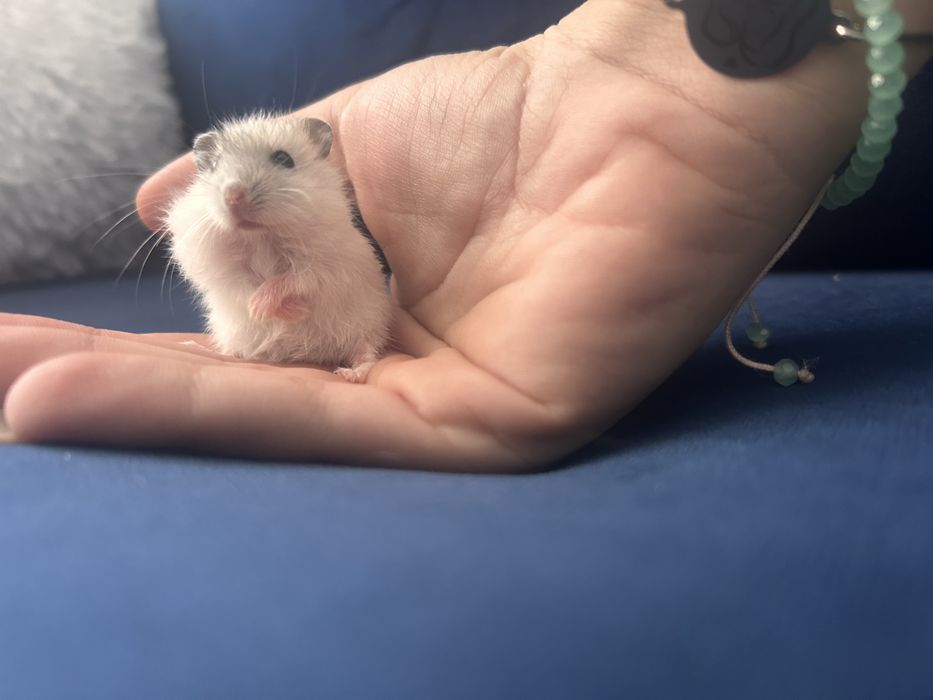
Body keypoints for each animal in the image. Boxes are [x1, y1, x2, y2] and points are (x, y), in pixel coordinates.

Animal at [165, 114, 391, 382]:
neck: (261, 237)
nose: (233, 196)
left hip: (367, 323)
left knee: (366, 351)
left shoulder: (327, 265)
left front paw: (285, 310)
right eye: (215, 165)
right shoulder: (220, 268)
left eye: (284, 159)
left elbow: (294, 280)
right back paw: (203, 347)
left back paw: (352, 373)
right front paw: (267, 310)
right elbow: (243, 286)